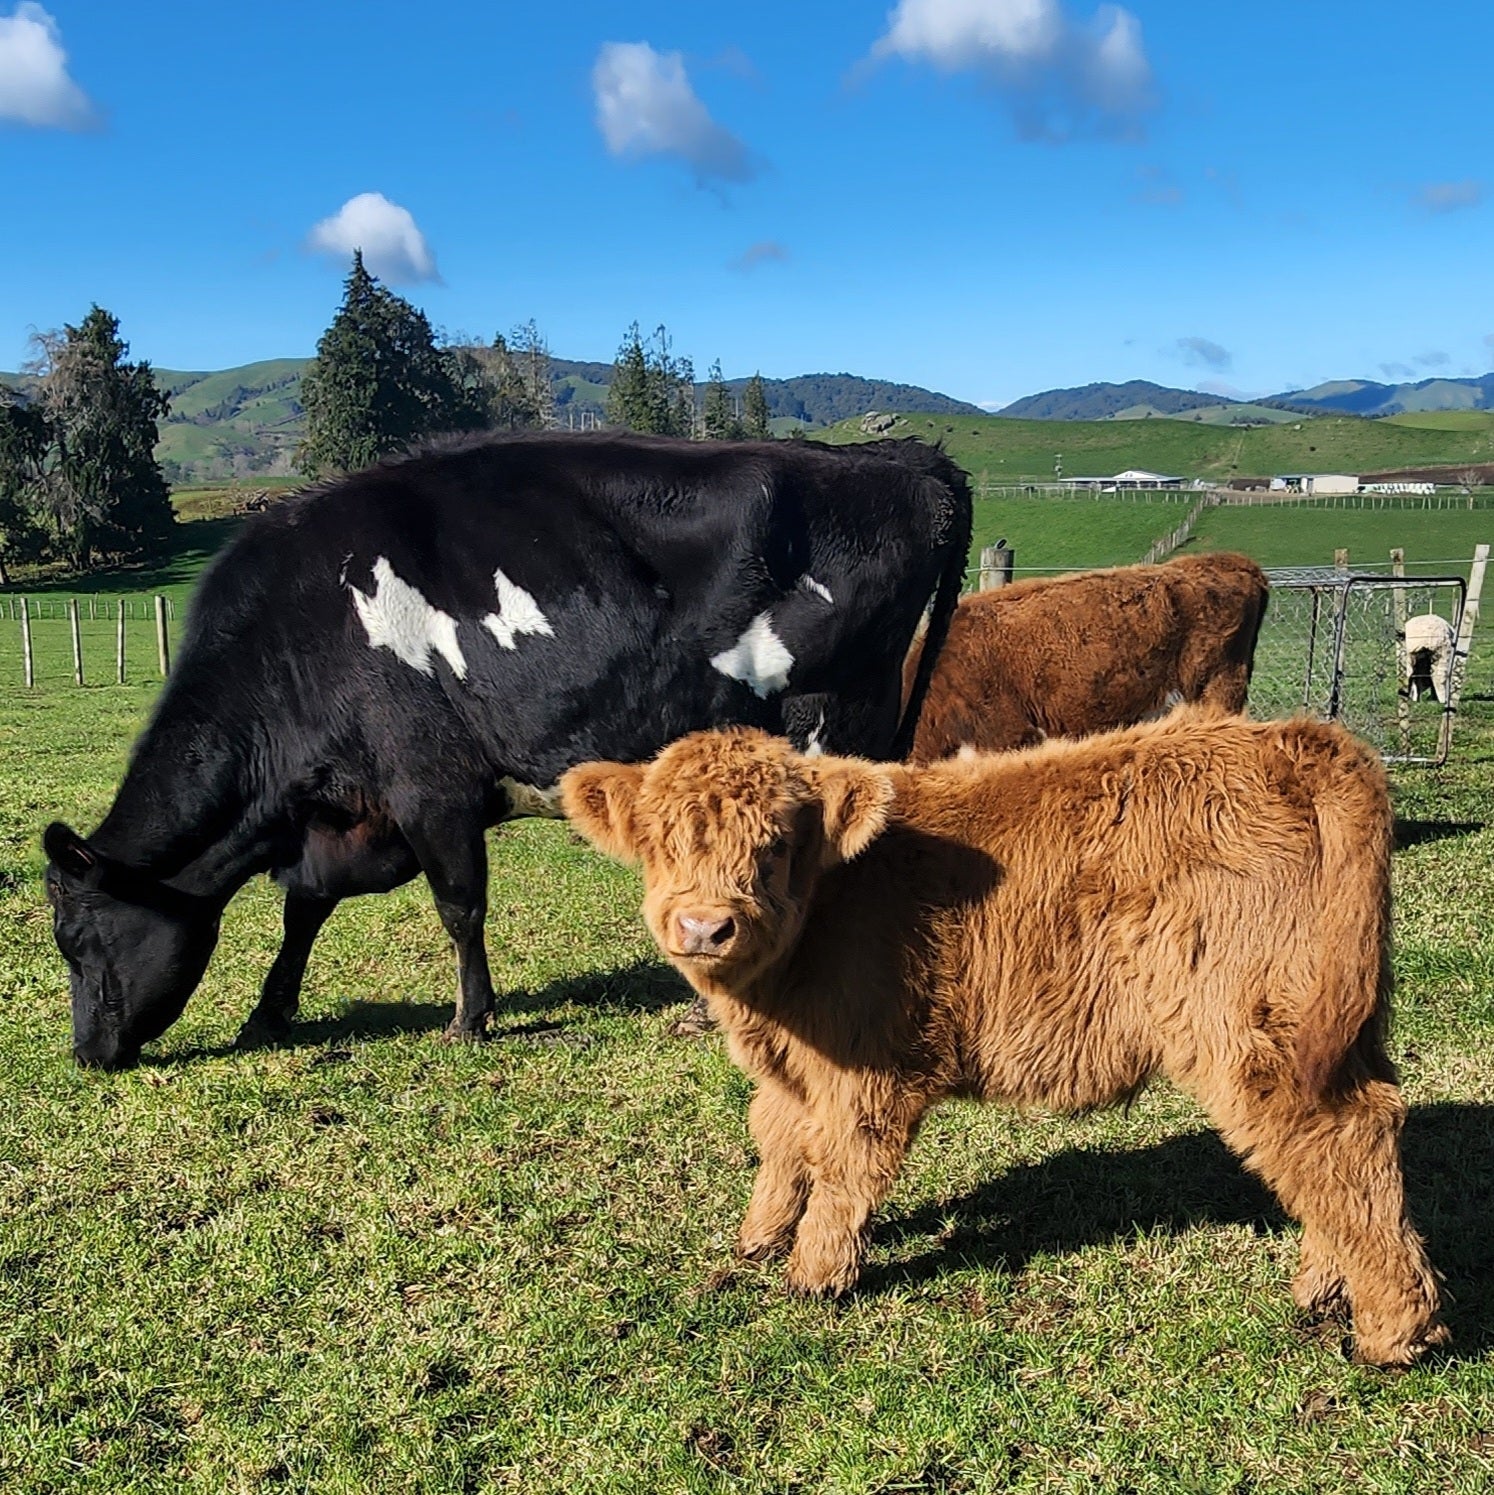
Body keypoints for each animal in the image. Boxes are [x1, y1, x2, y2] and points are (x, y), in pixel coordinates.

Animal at [43, 432, 971, 1070]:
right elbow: (304, 905)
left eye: (75, 939)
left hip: (833, 718)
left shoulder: (431, 786)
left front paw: (470, 1018)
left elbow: (459, 907)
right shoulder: (350, 815)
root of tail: (901, 460)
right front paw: (269, 1011)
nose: (86, 1053)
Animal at [561, 714, 1448, 1367]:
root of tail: (1294, 738)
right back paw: (1325, 1287)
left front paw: (813, 1276)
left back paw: (1391, 1332)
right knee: (1354, 1138)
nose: (705, 926)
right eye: (659, 841)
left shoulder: (866, 1069)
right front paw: (758, 1238)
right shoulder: (793, 1071)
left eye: (777, 843)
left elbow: (841, 1160)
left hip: (1253, 1029)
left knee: (1331, 1136)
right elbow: (778, 1139)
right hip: (1331, 1023)